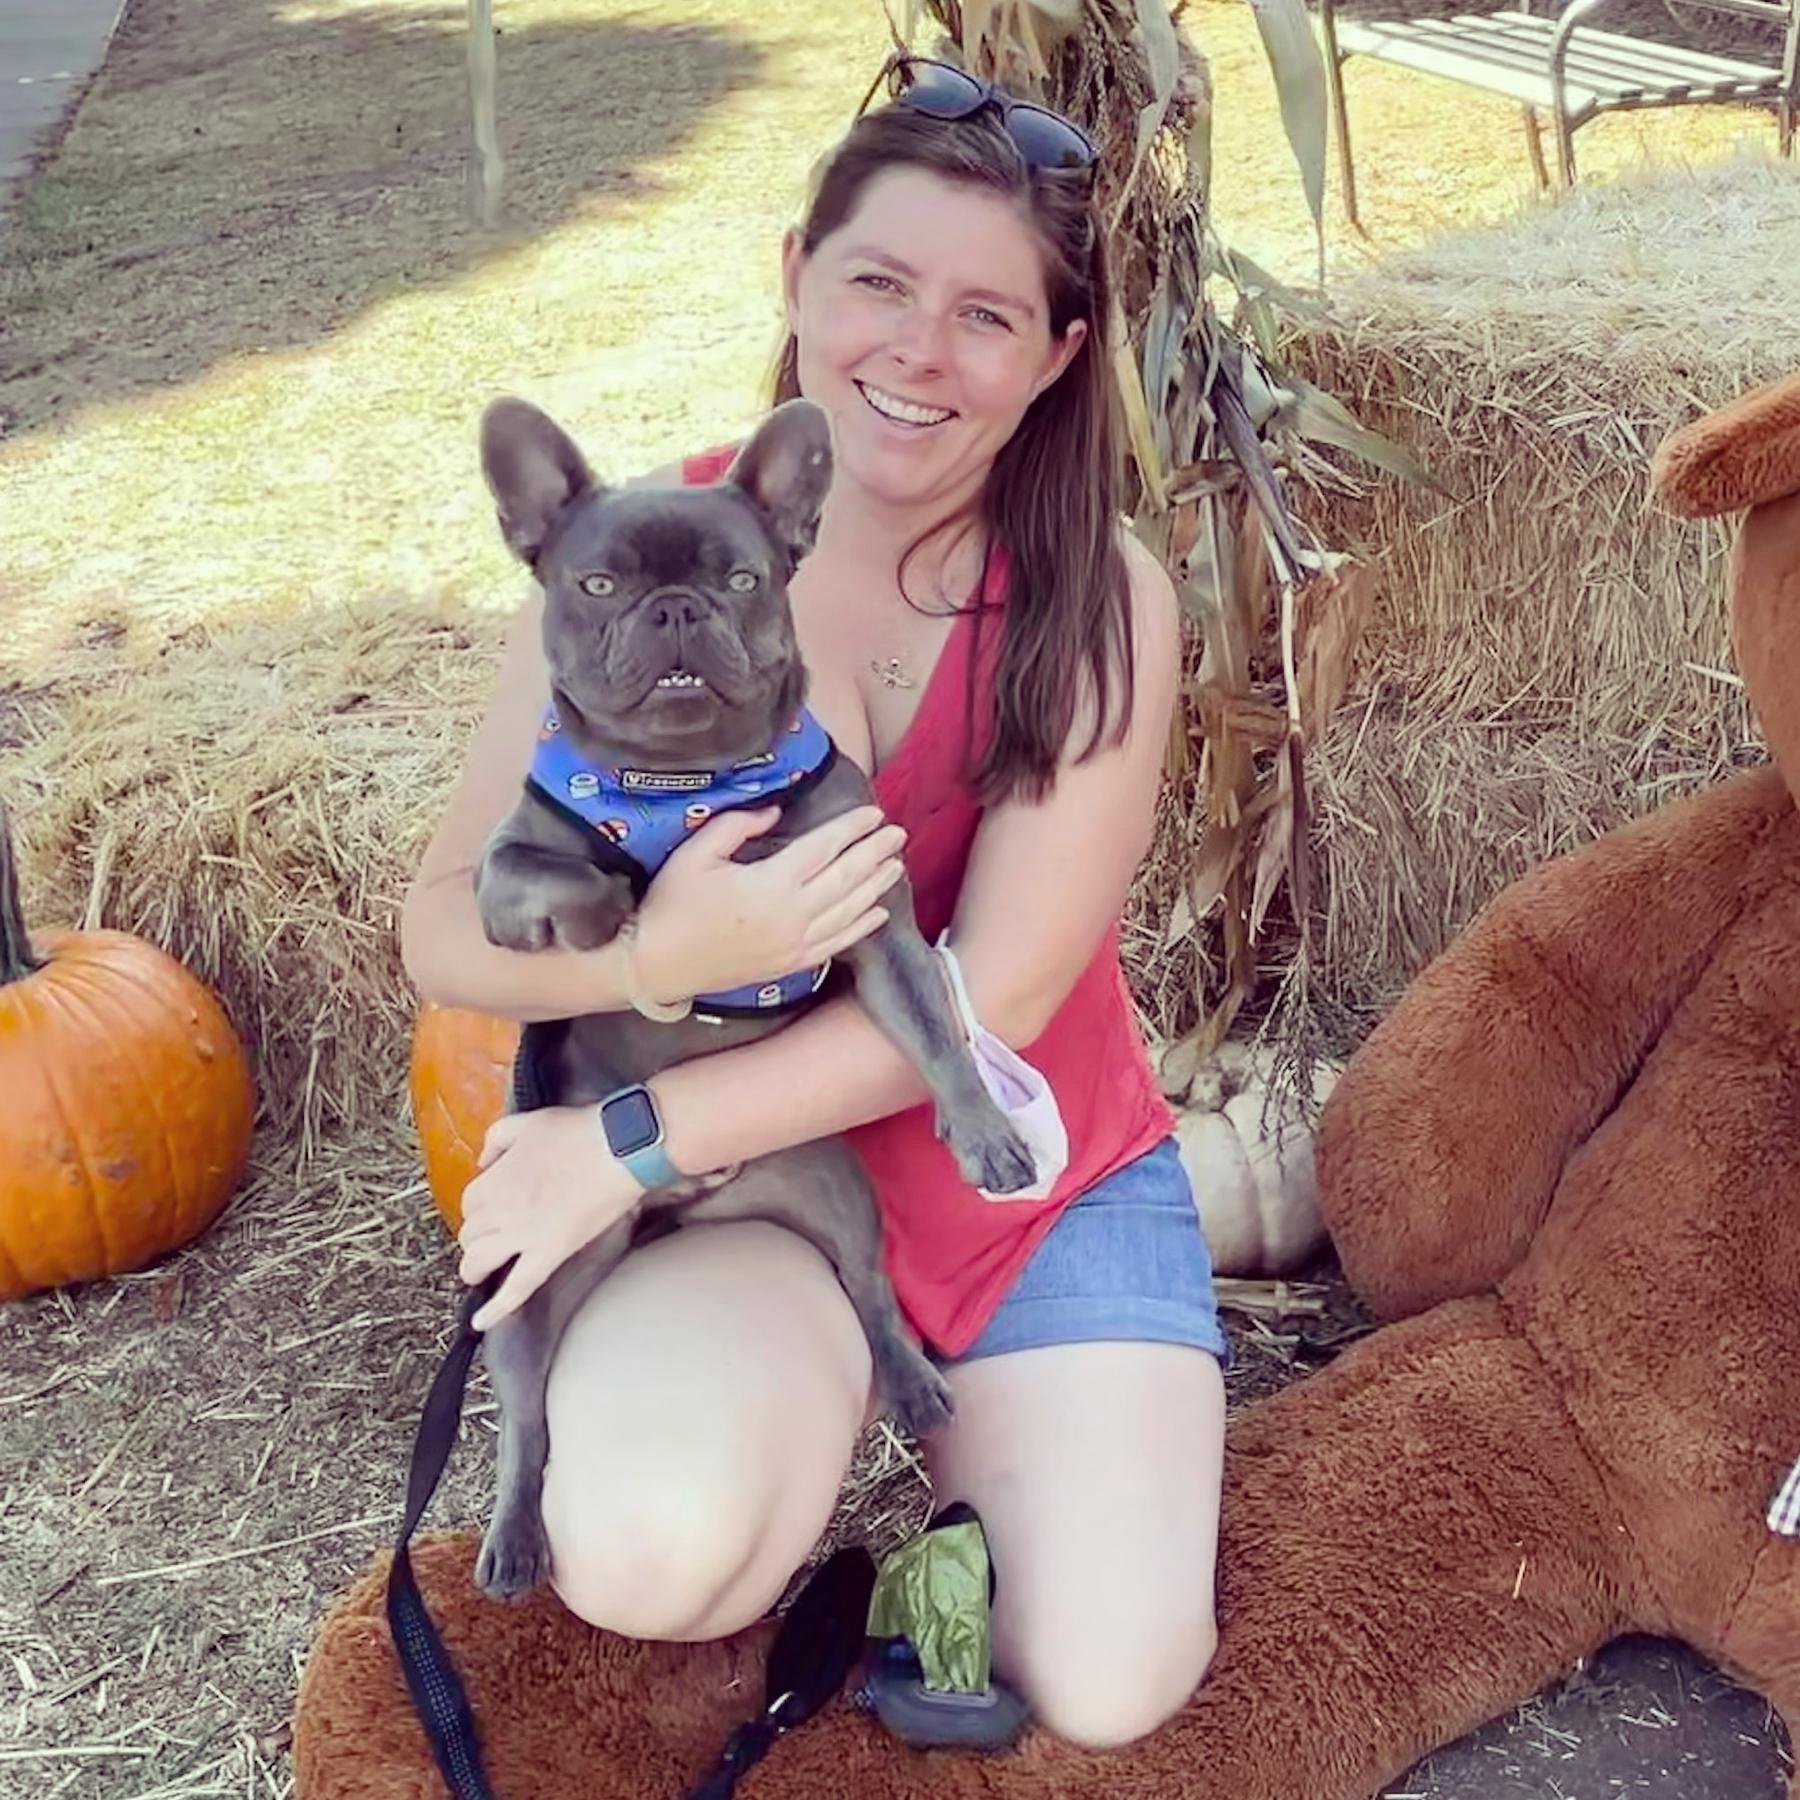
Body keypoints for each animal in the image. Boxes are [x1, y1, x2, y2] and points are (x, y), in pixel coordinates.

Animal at [469, 394, 1036, 1599]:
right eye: (596, 583)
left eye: (742, 577)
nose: (676, 608)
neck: (686, 782)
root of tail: (675, 1202)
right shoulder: (507, 867)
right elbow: (548, 877)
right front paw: (616, 918)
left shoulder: (874, 923)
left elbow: (938, 1033)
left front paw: (983, 1133)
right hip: (523, 1293)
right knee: (527, 1424)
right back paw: (512, 1540)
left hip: (835, 1192)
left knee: (870, 1293)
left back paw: (913, 1382)